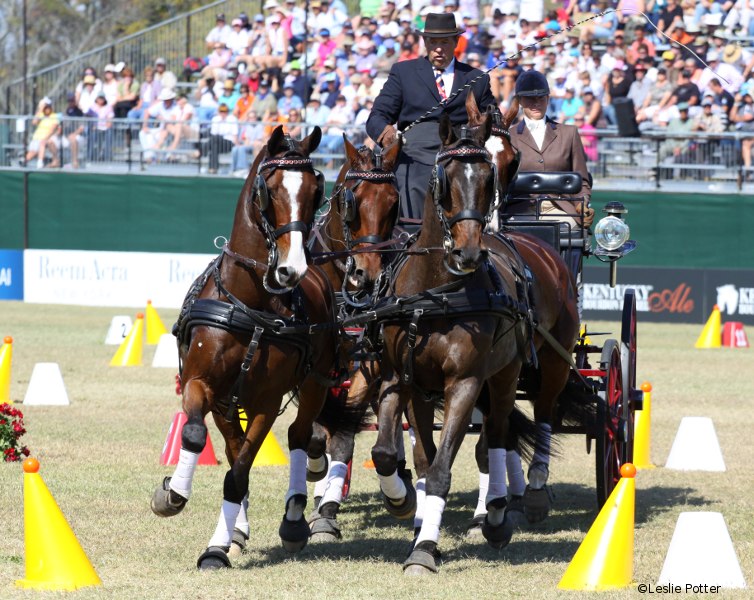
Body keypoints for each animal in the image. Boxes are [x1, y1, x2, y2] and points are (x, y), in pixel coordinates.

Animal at [151, 125, 356, 568]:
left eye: (316, 189)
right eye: (270, 189)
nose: (292, 269)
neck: (249, 303)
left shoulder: (265, 401)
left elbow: (240, 470)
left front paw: (215, 548)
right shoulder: (205, 386)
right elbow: (201, 438)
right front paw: (174, 494)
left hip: (314, 383)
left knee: (300, 436)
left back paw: (294, 519)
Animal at [368, 92, 576, 572]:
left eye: (491, 175)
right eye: (444, 179)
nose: (468, 250)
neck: (435, 292)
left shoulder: (463, 382)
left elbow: (443, 469)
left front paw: (424, 549)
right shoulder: (405, 379)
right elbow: (402, 455)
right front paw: (403, 504)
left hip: (531, 367)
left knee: (516, 427)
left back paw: (515, 505)